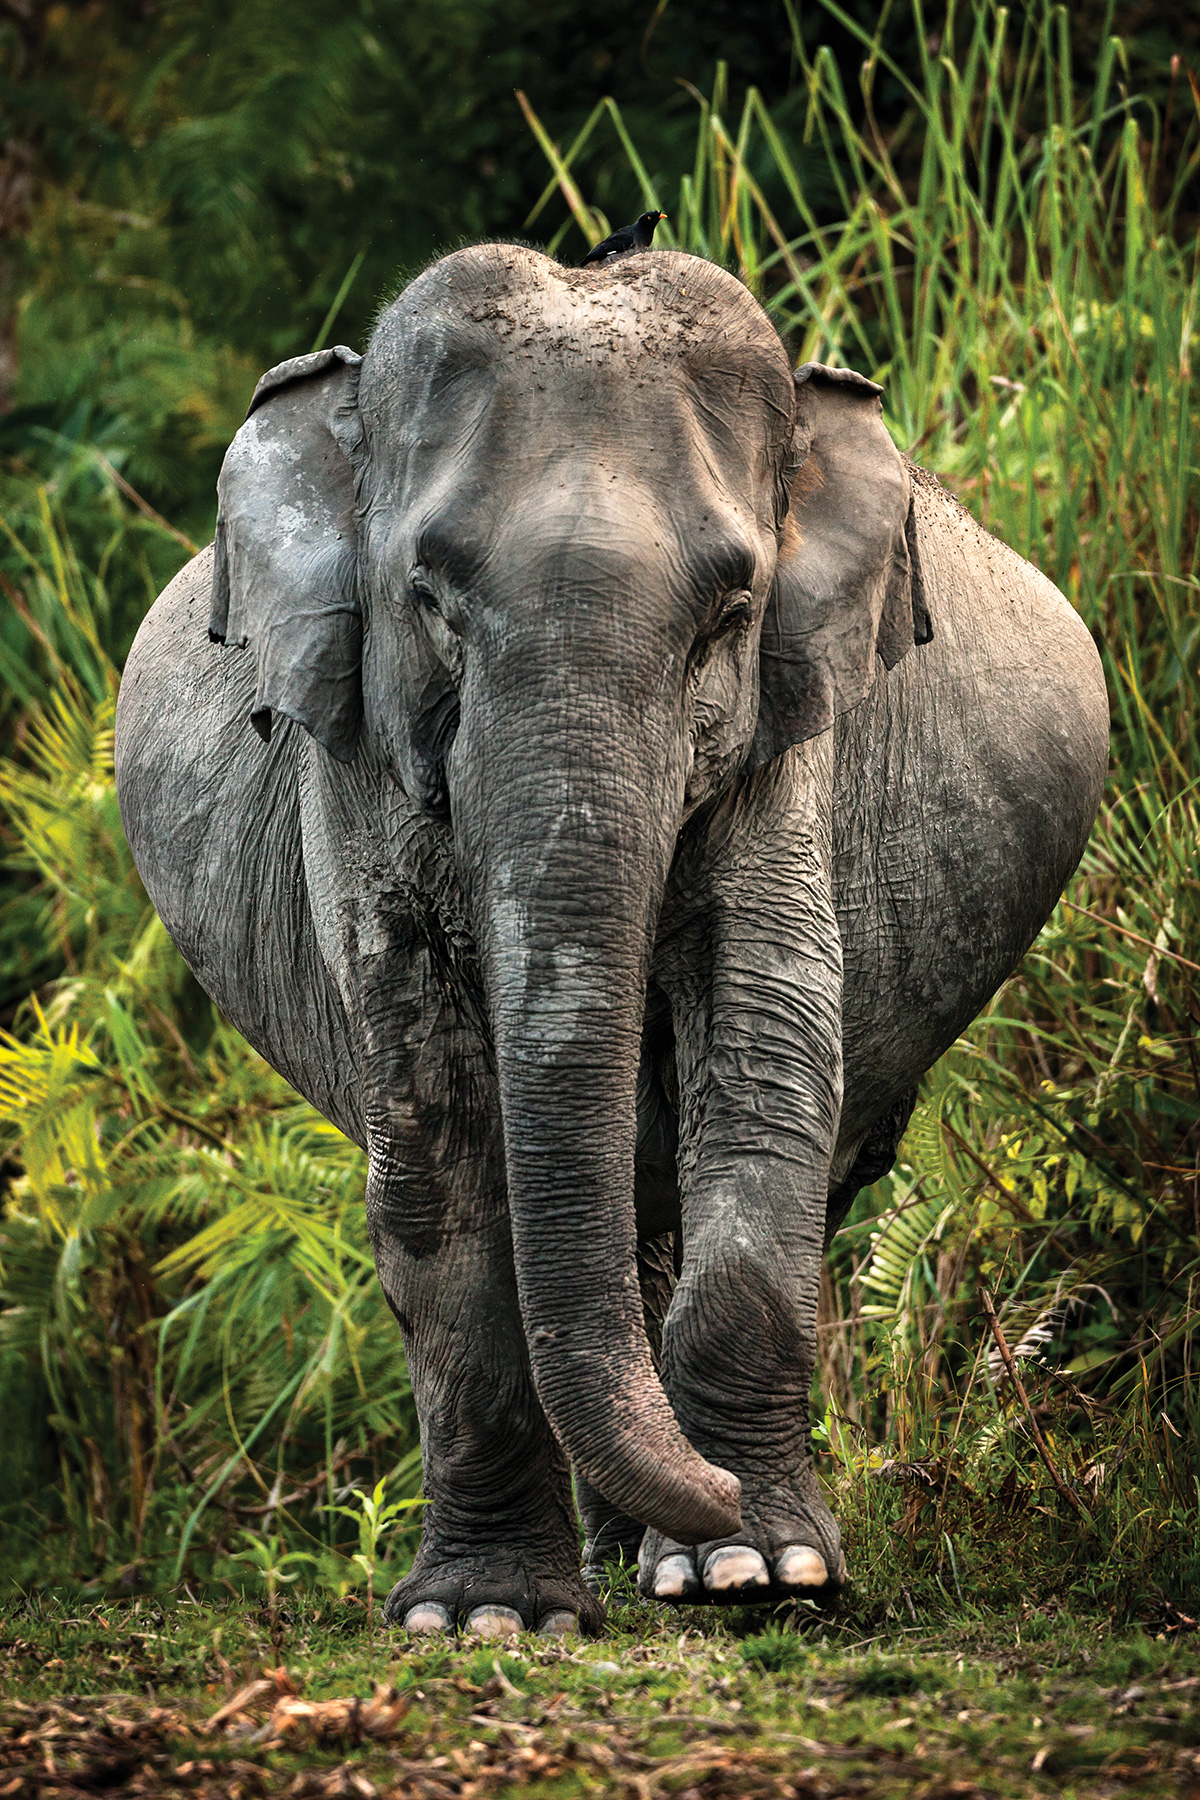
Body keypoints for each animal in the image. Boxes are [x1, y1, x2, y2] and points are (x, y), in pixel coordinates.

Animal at [112, 246, 1108, 1641]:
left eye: (731, 607)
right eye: (430, 599)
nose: (715, 1499)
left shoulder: (785, 731)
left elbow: (764, 1055)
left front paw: (761, 1572)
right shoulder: (354, 762)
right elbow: (431, 1127)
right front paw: (488, 1616)